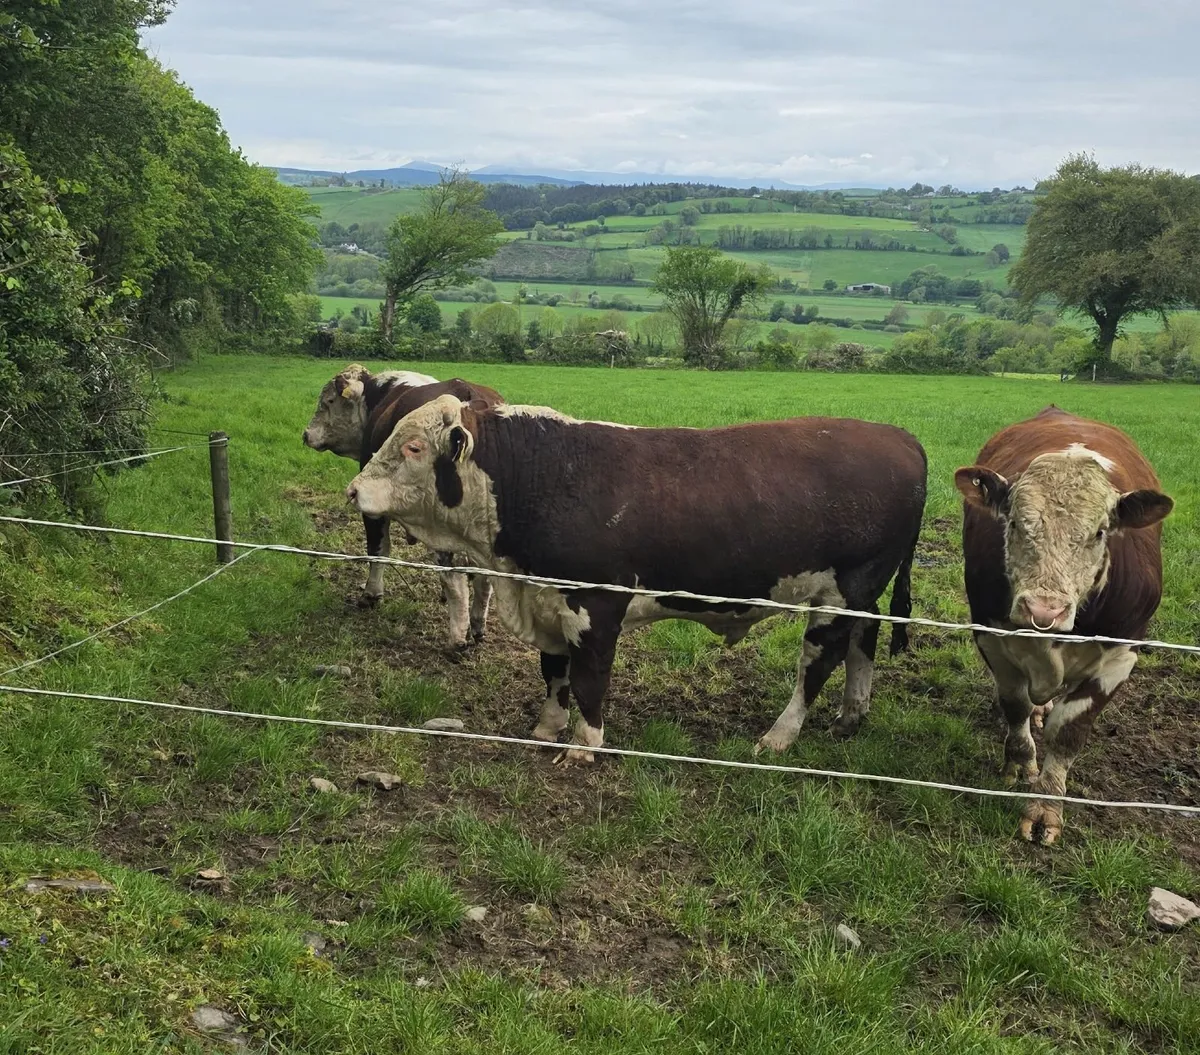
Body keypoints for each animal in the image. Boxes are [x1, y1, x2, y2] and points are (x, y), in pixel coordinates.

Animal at [302, 365, 502, 650]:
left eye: (329, 401)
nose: (306, 434)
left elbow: (378, 549)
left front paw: (371, 594)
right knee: (485, 577)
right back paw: (476, 625)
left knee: (455, 577)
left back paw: (457, 639)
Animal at [345, 396, 928, 761]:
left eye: (413, 447)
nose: (353, 490)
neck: (540, 476)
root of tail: (898, 436)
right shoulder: (549, 600)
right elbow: (554, 673)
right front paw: (547, 727)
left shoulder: (596, 606)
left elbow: (588, 678)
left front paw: (584, 746)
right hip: (862, 592)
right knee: (865, 638)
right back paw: (852, 715)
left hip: (842, 591)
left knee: (818, 663)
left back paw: (780, 735)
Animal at [955, 406, 1173, 844]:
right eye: (1014, 524)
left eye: (1100, 532)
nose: (1043, 609)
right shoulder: (991, 635)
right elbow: (1015, 705)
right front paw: (1021, 764)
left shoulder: (1121, 654)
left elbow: (1069, 731)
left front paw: (1046, 805)